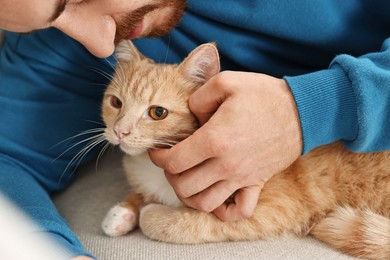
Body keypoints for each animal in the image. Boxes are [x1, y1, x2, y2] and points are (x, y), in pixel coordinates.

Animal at [101, 40, 390, 260]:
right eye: (116, 102)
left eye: (157, 112)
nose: (120, 131)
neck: (152, 167)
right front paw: (123, 211)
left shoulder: (270, 210)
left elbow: (190, 223)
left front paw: (149, 214)